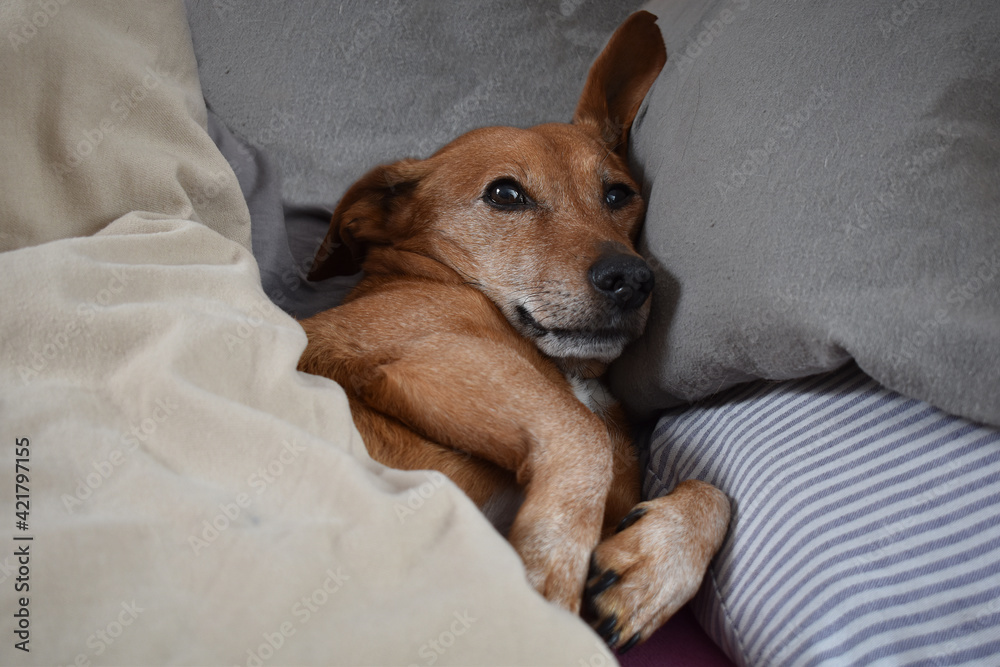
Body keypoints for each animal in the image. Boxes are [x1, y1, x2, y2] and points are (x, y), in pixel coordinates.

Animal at [296, 10, 728, 652]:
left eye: (619, 194)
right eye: (505, 193)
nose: (632, 279)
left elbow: (713, 491)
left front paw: (646, 574)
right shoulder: (421, 348)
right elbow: (582, 433)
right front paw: (548, 588)